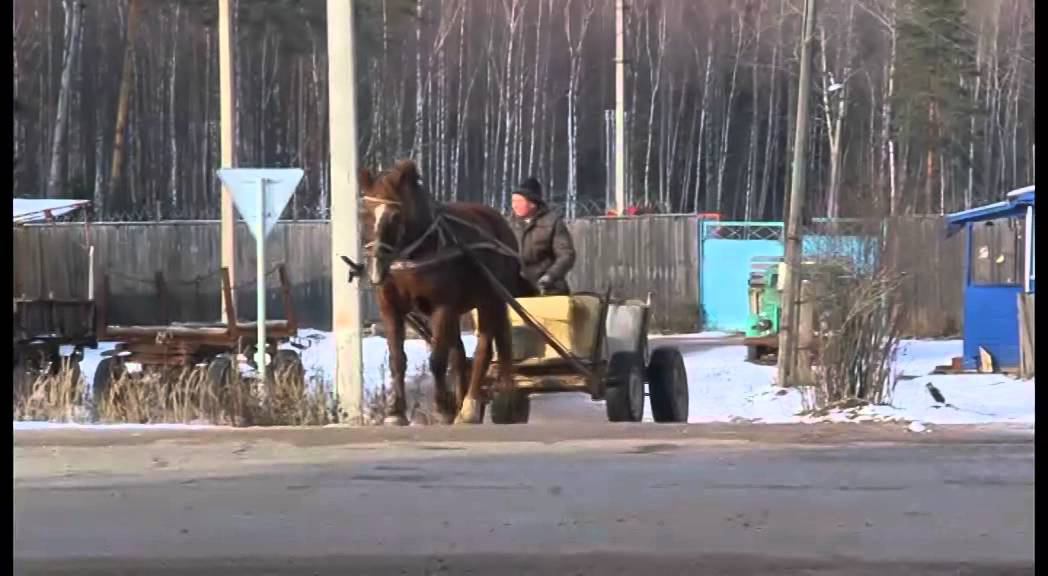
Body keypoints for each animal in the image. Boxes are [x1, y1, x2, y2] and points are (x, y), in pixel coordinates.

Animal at [356, 160, 536, 427]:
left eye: (395, 215)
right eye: (363, 214)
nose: (376, 269)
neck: (416, 254)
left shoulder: (442, 307)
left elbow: (438, 360)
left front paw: (442, 407)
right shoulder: (390, 307)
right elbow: (397, 359)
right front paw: (395, 411)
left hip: (491, 300)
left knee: (486, 349)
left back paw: (475, 405)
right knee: (461, 357)